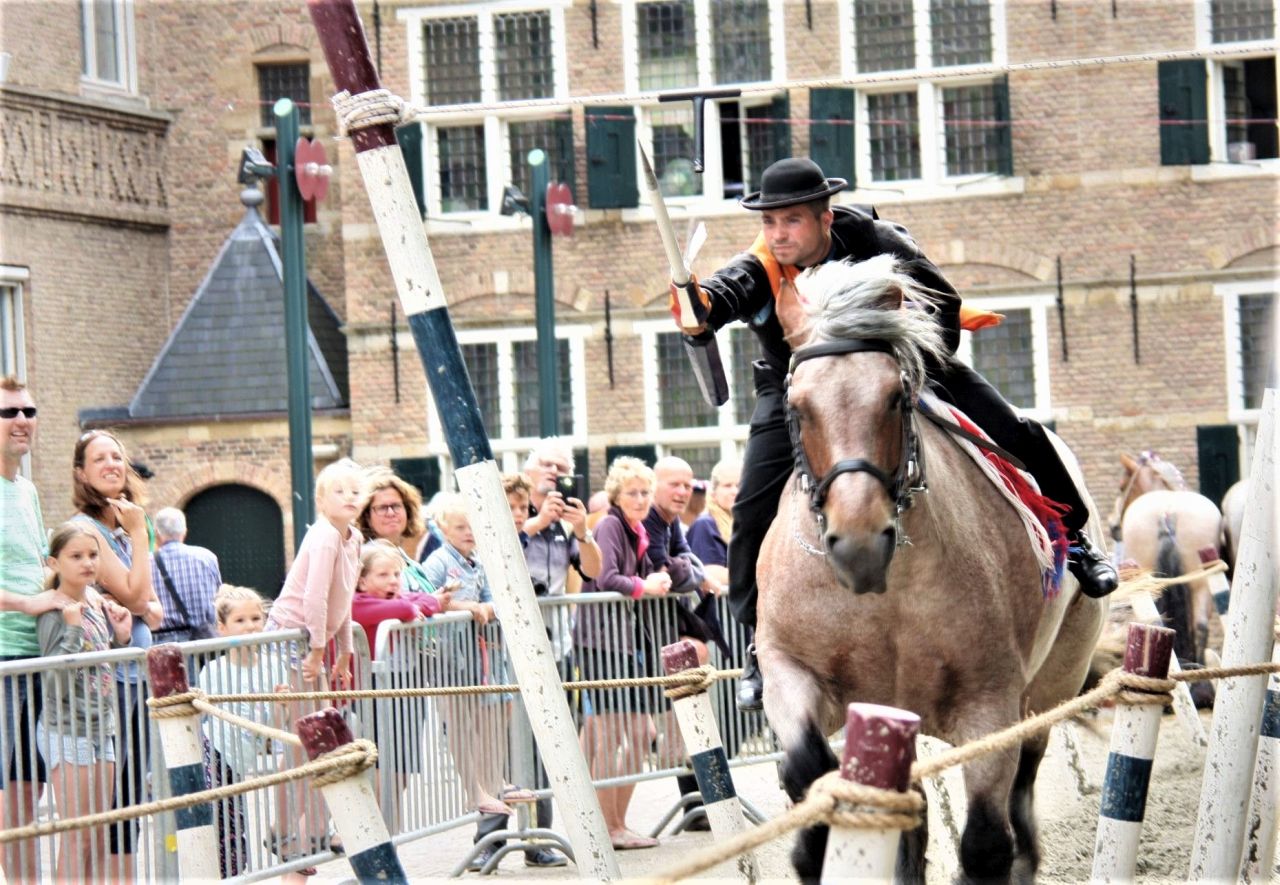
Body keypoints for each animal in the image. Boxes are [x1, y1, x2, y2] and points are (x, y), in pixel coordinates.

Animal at [752, 257, 1105, 885]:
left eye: (896, 396)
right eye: (798, 406)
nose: (860, 543)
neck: (887, 596)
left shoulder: (989, 706)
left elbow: (986, 842)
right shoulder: (791, 672)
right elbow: (808, 770)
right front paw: (812, 847)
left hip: (1049, 687)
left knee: (1025, 783)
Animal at [1111, 450, 1218, 701]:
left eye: (1121, 486)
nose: (1113, 526)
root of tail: (1167, 510)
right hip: (1200, 582)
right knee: (1200, 625)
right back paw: (1200, 688)